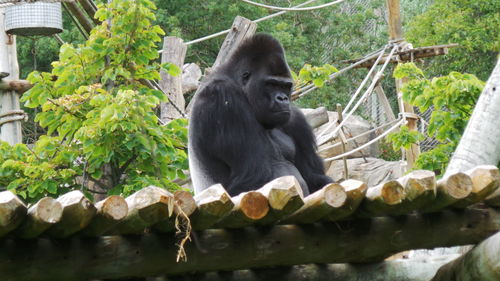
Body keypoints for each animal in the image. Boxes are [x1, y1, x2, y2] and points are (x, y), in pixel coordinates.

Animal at [188, 34, 332, 196]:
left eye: (285, 86)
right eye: (271, 84)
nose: (283, 98)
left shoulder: (296, 119)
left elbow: (312, 176)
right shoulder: (222, 96)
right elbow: (254, 178)